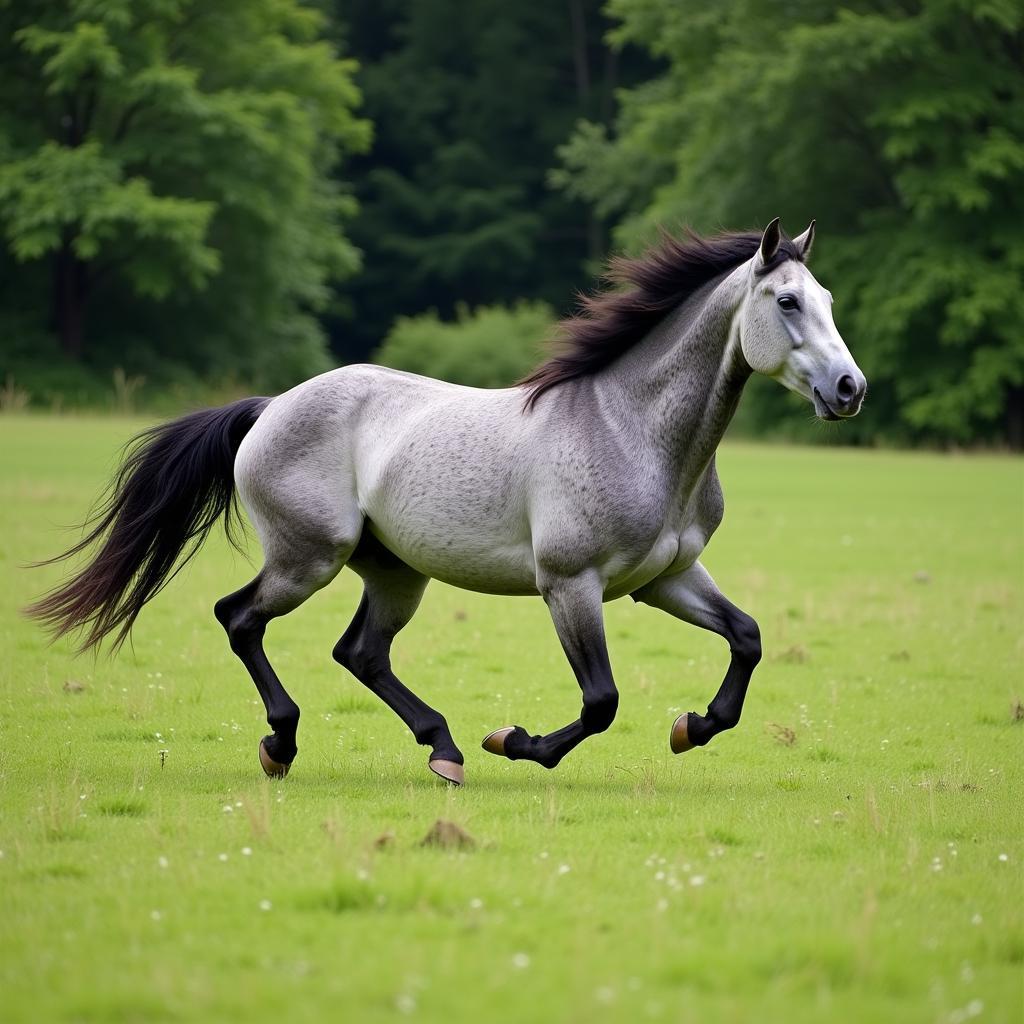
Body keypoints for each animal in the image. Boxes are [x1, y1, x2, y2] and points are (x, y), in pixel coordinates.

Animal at [28, 220, 864, 782]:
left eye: (826, 298)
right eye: (787, 303)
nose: (850, 388)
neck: (632, 429)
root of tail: (268, 408)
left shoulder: (664, 578)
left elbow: (747, 638)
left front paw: (693, 727)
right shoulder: (571, 584)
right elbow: (601, 700)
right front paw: (517, 743)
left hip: (394, 573)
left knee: (360, 652)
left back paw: (444, 749)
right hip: (308, 559)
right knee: (239, 619)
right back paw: (284, 745)